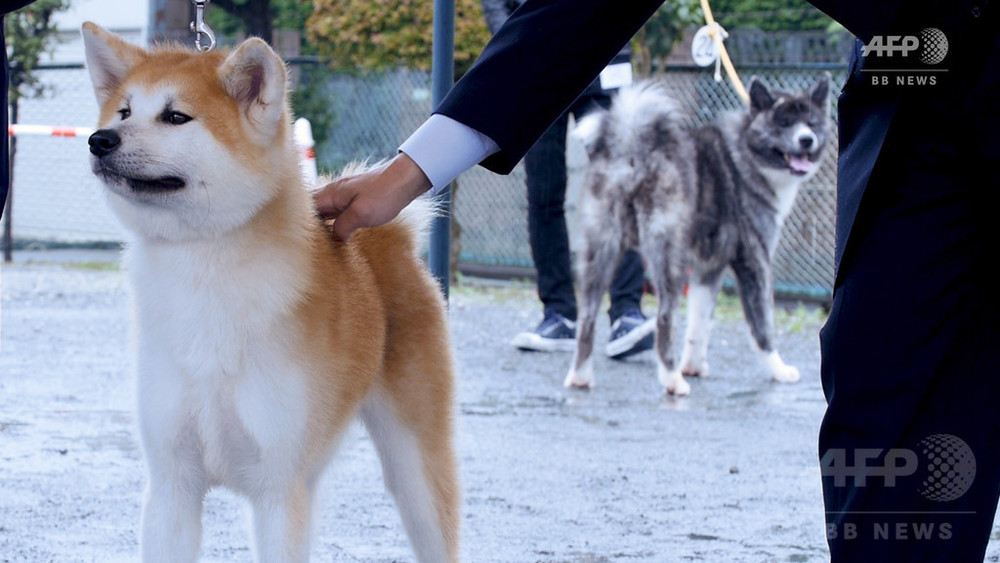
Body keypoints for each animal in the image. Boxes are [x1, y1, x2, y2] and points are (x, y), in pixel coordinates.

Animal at [568, 75, 832, 396]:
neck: (745, 154)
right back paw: (672, 381)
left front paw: (693, 366)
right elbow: (762, 325)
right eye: (783, 123)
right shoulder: (754, 262)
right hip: (669, 257)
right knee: (664, 319)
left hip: (600, 252)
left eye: (811, 122)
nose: (807, 139)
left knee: (587, 318)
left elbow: (699, 322)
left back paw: (580, 376)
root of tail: (631, 143)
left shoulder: (709, 269)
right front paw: (778, 370)